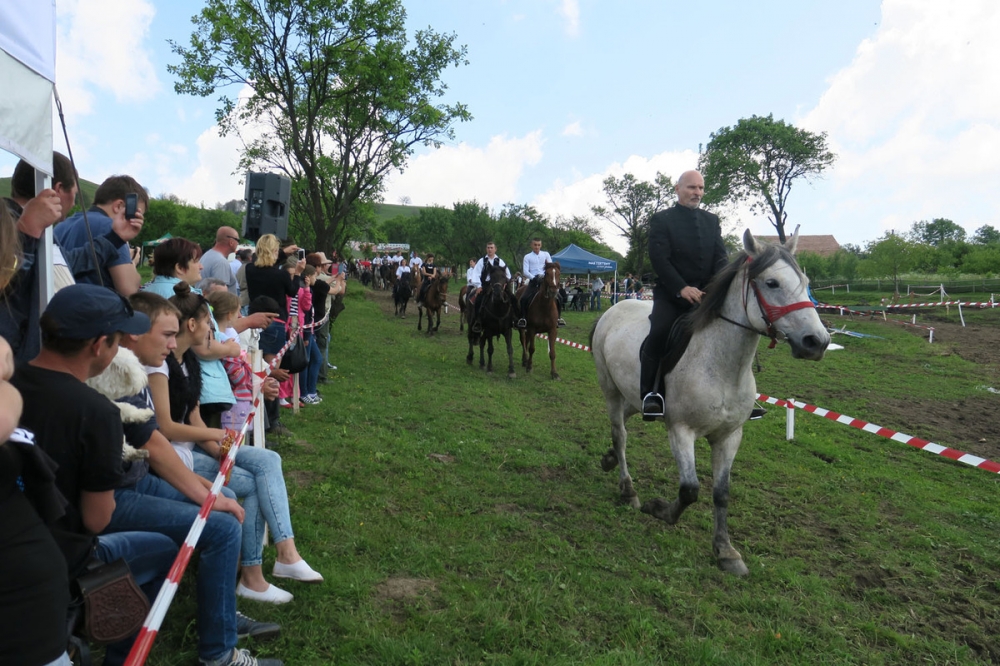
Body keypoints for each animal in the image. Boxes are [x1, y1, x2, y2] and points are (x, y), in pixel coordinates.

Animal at [588, 227, 832, 572]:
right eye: (772, 283)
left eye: (806, 282)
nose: (817, 342)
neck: (721, 366)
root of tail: (612, 310)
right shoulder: (680, 431)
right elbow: (690, 490)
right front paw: (658, 509)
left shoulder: (729, 436)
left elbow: (721, 493)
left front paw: (725, 551)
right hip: (610, 389)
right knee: (619, 433)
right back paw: (628, 489)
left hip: (634, 397)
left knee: (623, 423)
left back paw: (609, 459)